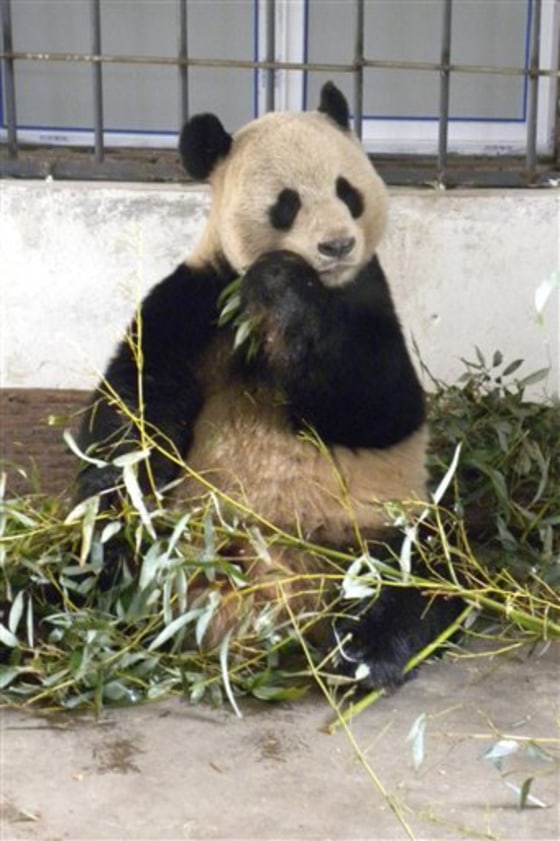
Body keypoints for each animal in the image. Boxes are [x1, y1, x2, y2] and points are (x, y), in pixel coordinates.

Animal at [77, 82, 462, 690]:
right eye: (288, 203)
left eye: (347, 191)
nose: (337, 245)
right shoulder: (197, 300)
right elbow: (134, 413)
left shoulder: (366, 294)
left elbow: (382, 406)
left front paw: (284, 286)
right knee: (102, 568)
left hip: (378, 529)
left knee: (428, 570)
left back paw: (364, 649)